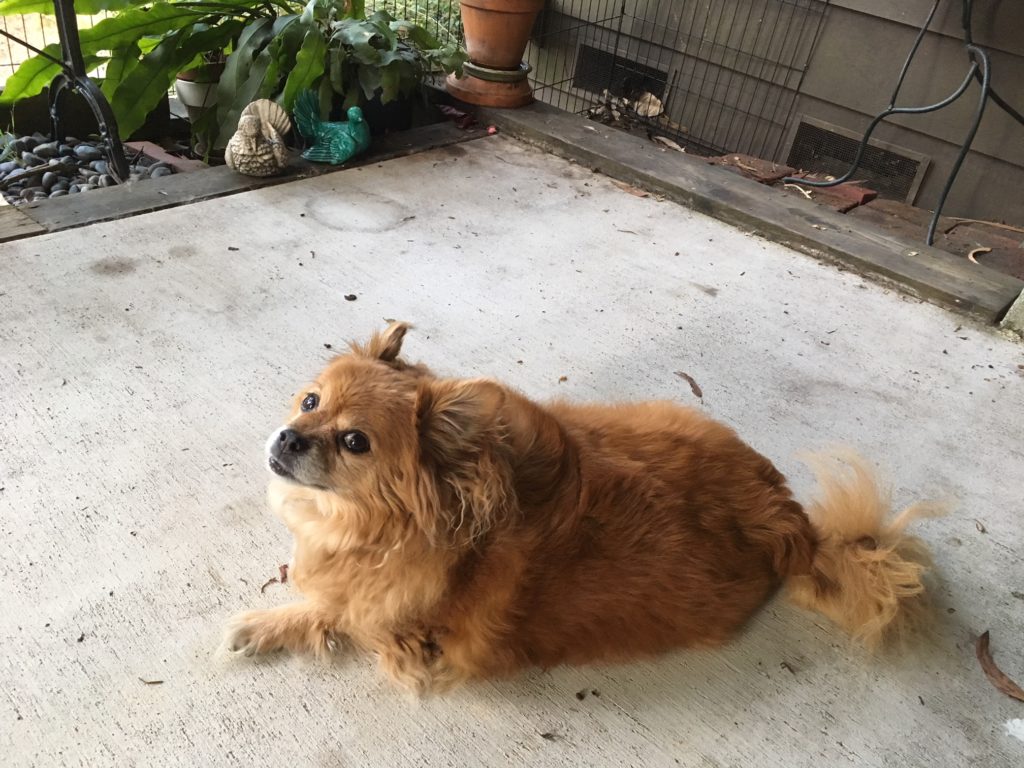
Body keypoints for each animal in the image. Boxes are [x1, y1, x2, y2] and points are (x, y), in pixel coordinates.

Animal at [226, 321, 942, 696]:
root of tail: (792, 525)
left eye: (355, 442)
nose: (288, 436)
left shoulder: (411, 640)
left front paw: (270, 624)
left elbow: (340, 612)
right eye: (310, 402)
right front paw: (269, 621)